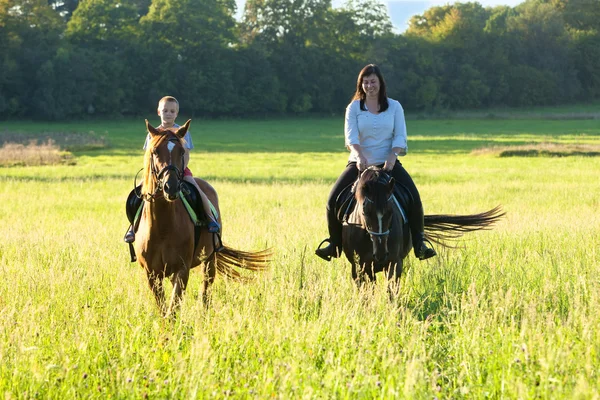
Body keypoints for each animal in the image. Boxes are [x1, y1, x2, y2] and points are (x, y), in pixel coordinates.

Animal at [135, 120, 270, 318]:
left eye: (181, 152)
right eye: (155, 151)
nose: (170, 187)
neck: (162, 227)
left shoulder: (182, 270)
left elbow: (173, 309)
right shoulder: (152, 274)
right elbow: (164, 310)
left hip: (209, 261)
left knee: (206, 292)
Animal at [342, 166, 506, 296]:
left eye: (390, 212)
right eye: (365, 213)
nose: (381, 253)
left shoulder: (394, 263)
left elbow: (391, 293)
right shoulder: (360, 267)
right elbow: (366, 295)